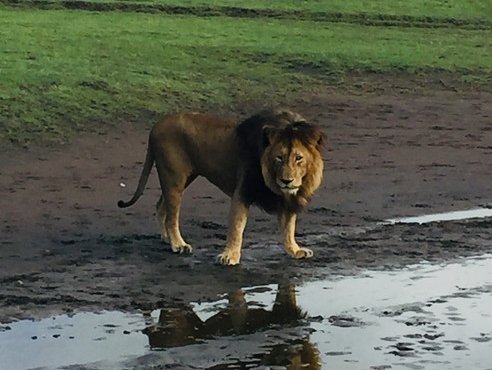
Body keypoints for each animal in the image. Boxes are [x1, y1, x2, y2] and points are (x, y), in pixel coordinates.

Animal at [117, 108, 324, 264]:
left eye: (298, 158)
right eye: (279, 157)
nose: (287, 181)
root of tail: (157, 125)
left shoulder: (287, 200)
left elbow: (289, 226)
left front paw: (294, 250)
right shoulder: (243, 190)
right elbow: (237, 226)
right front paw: (229, 256)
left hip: (185, 177)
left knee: (161, 205)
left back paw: (167, 238)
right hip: (174, 177)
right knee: (172, 216)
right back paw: (178, 244)